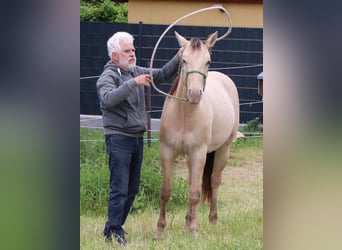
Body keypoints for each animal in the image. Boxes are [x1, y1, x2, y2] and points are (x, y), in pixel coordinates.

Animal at [154, 31, 239, 240]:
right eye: (184, 60)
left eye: (208, 61)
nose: (194, 94)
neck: (185, 114)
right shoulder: (167, 152)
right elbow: (166, 191)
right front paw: (160, 231)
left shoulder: (199, 153)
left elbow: (194, 193)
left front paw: (194, 230)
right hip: (189, 159)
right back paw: (186, 222)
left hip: (222, 150)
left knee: (214, 181)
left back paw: (212, 219)